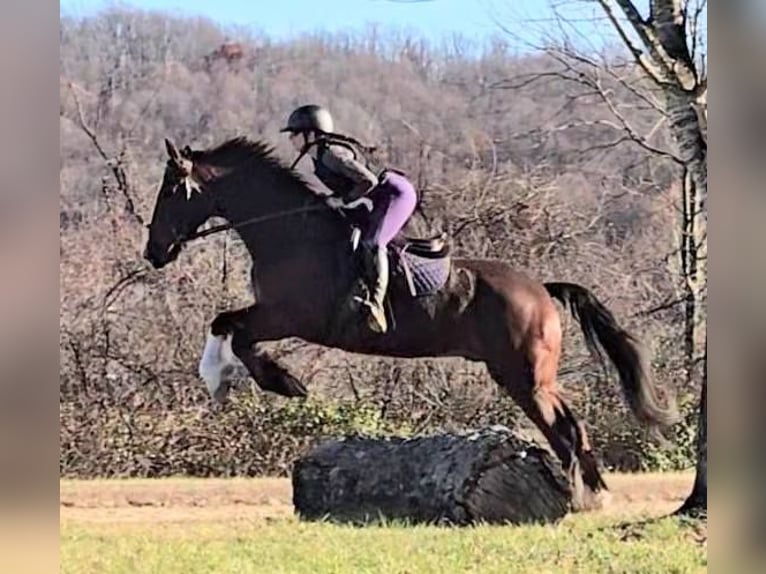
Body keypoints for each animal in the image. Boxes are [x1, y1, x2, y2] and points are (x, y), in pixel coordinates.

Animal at [143, 135, 679, 511]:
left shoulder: (290, 315)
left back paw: (580, 496)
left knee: (563, 427)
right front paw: (238, 379)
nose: (153, 253)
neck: (286, 230)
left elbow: (233, 328)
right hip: (529, 375)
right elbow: (227, 325)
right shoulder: (277, 315)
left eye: (171, 191)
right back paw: (593, 492)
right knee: (570, 424)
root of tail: (542, 291)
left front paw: (273, 381)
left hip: (523, 375)